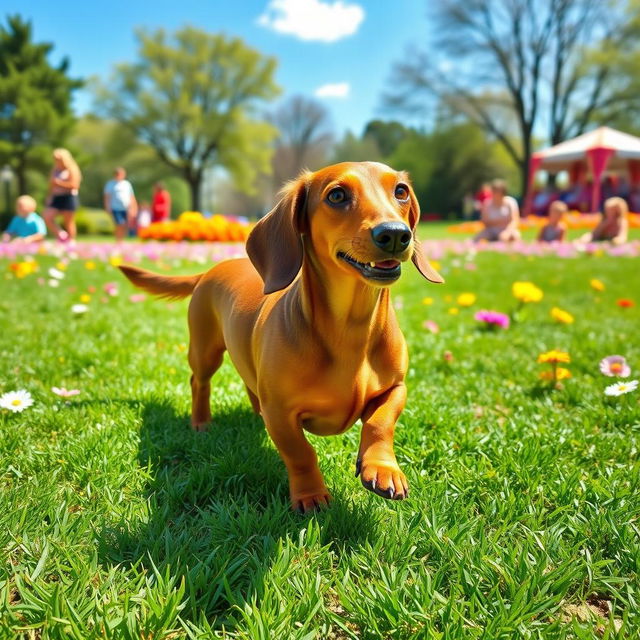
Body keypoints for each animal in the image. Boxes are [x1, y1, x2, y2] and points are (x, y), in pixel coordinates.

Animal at [120, 162, 442, 512]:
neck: (351, 327)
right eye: (337, 195)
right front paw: (310, 495)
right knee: (199, 382)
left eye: (401, 191)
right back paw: (201, 423)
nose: (395, 234)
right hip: (205, 351)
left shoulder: (397, 387)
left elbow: (380, 422)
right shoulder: (281, 413)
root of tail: (210, 270)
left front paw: (383, 469)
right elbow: (300, 453)